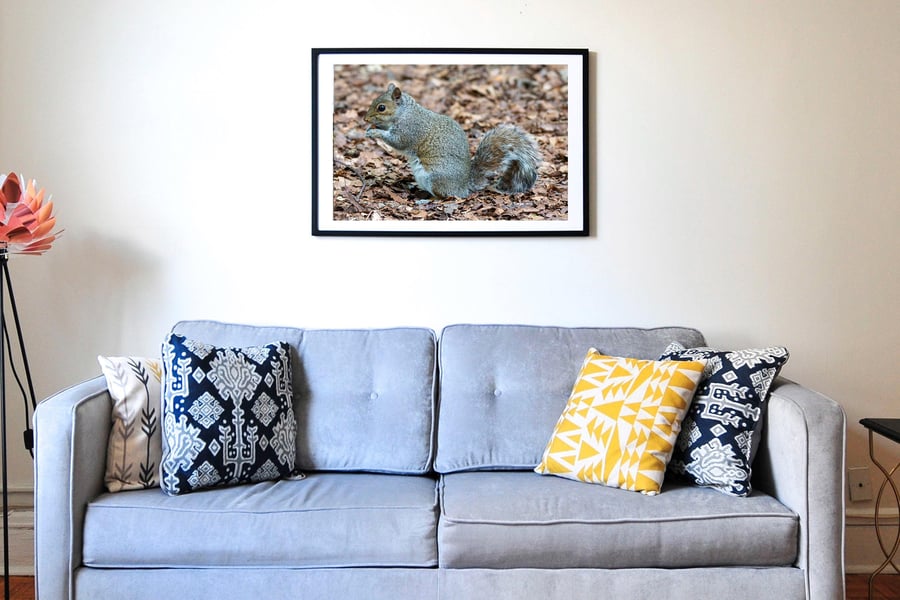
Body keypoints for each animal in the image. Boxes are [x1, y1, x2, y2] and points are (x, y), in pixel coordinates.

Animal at [364, 83, 542, 198]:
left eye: (381, 107)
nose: (365, 119)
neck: (404, 113)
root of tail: (463, 187)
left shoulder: (410, 129)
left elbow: (398, 142)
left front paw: (375, 132)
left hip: (435, 178)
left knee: (445, 197)